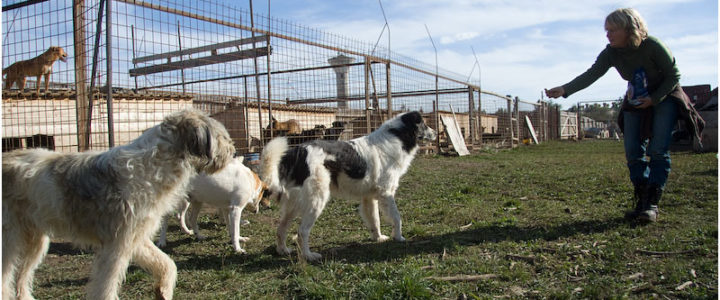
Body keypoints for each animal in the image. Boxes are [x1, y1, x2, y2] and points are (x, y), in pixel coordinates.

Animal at [1, 109, 233, 300]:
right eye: (221, 136)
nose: (233, 151)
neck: (156, 162)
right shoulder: (116, 246)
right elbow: (106, 287)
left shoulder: (136, 237)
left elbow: (168, 263)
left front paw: (164, 290)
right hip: (10, 241)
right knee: (7, 279)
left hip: (37, 241)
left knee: (21, 278)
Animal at [262, 111, 436, 262]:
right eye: (424, 124)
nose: (435, 133)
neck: (397, 136)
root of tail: (298, 151)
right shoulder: (386, 193)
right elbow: (397, 217)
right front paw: (399, 237)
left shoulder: (369, 198)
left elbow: (375, 221)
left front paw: (378, 238)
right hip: (317, 201)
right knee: (302, 232)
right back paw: (309, 256)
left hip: (294, 205)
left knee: (281, 228)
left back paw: (283, 250)